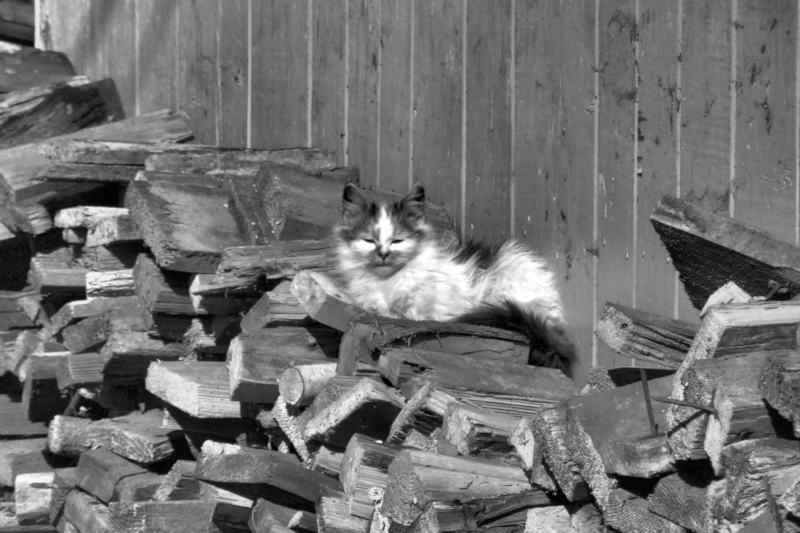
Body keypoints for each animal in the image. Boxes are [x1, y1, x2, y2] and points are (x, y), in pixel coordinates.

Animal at [332, 181, 576, 376]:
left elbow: (399, 312)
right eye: (368, 241)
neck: (386, 282)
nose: (383, 254)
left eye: (398, 241)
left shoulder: (428, 311)